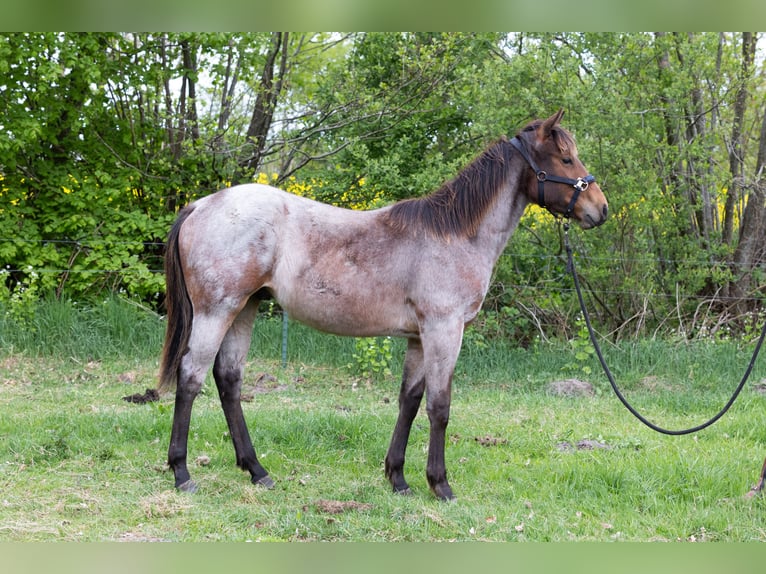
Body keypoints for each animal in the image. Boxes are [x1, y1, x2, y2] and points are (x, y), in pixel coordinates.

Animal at [158, 109, 608, 500]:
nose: (600, 209)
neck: (454, 235)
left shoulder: (419, 338)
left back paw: (257, 471)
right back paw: (182, 473)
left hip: (245, 308)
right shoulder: (444, 330)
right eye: (565, 157)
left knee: (229, 380)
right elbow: (439, 406)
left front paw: (398, 479)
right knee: (191, 376)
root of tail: (201, 205)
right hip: (218, 310)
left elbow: (409, 400)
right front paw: (440, 485)